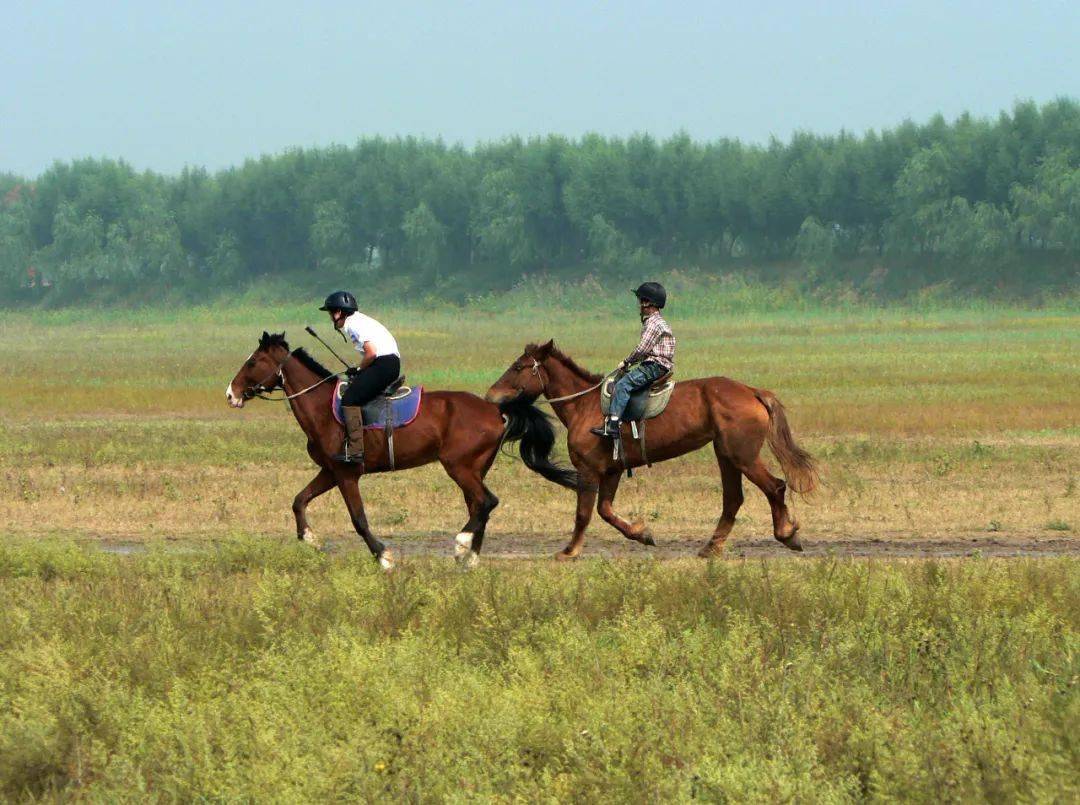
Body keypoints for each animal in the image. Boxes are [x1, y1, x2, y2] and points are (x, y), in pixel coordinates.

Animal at [225, 330, 583, 566]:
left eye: (253, 362)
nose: (231, 394)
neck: (323, 408)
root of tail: (496, 409)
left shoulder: (346, 473)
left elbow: (358, 518)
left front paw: (383, 555)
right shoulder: (330, 471)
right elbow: (299, 501)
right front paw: (310, 538)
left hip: (459, 466)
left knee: (486, 502)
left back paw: (461, 545)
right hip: (474, 468)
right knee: (479, 506)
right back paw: (470, 557)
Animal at [483, 339, 816, 557]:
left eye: (518, 367)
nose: (490, 396)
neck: (584, 405)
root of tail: (752, 391)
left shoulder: (589, 471)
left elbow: (584, 513)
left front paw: (569, 551)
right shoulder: (613, 470)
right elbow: (605, 511)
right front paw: (642, 534)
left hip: (742, 456)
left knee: (775, 486)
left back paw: (787, 535)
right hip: (726, 456)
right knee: (733, 499)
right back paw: (711, 546)